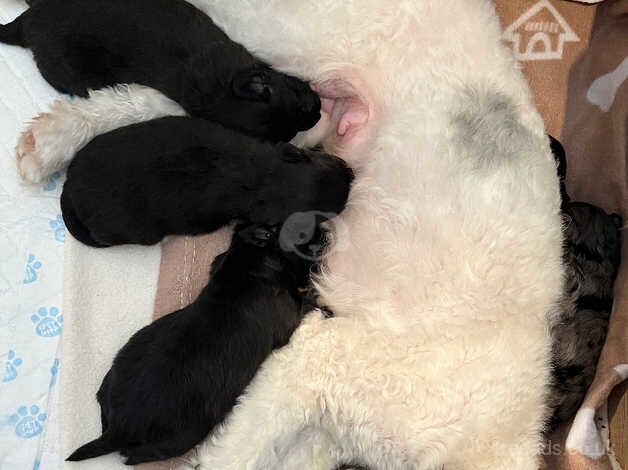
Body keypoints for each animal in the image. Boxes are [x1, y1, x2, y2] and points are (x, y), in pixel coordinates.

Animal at [68, 223, 318, 462]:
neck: (241, 265)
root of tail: (120, 428)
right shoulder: (287, 317)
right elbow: (304, 305)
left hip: (116, 369)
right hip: (183, 437)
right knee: (135, 457)